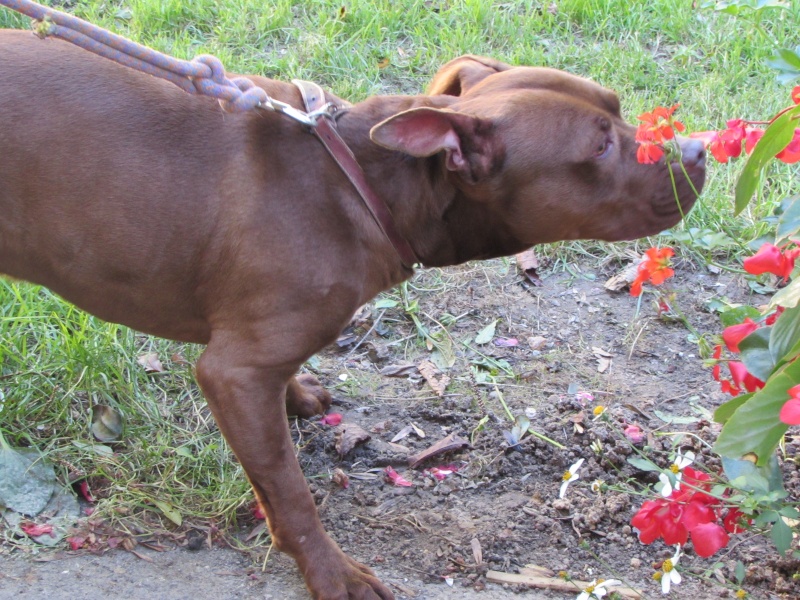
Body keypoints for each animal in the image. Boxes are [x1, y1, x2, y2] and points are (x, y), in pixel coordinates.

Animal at [0, 29, 700, 600]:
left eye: (618, 106)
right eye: (600, 147)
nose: (694, 150)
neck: (363, 181)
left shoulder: (249, 367)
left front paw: (299, 395)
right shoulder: (236, 372)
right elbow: (289, 493)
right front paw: (330, 572)